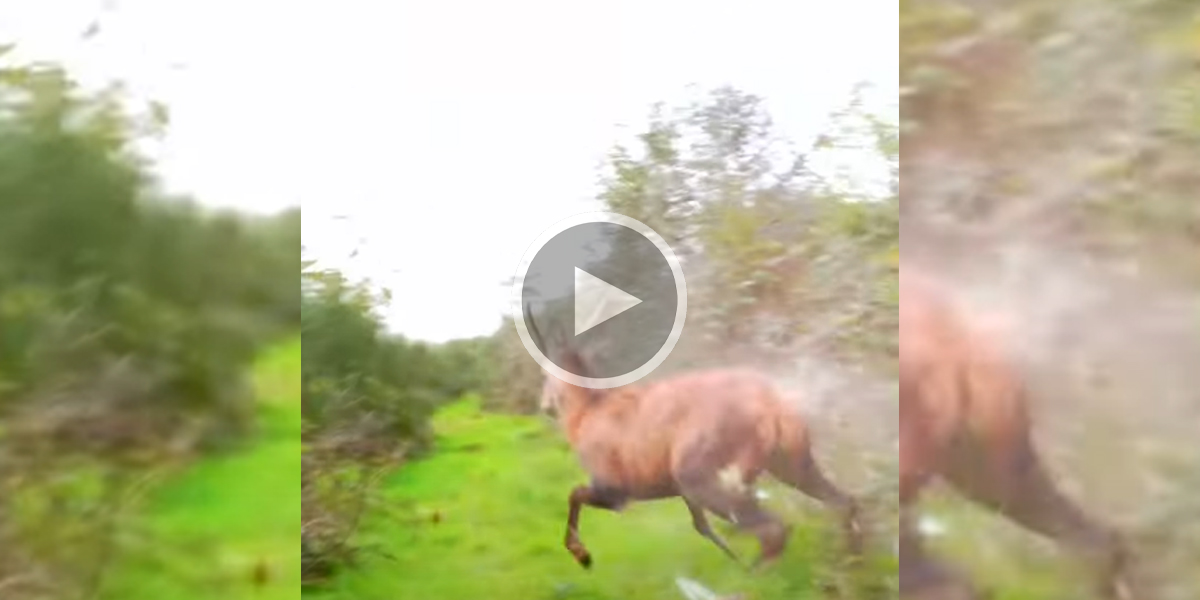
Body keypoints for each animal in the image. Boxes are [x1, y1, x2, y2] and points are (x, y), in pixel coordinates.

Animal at [525, 302, 864, 573]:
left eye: (543, 375)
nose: (544, 406)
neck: (588, 411)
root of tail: (771, 407)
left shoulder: (617, 488)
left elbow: (574, 494)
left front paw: (582, 556)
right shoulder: (677, 489)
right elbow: (701, 527)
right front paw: (733, 559)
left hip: (702, 472)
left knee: (776, 528)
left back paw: (759, 576)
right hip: (788, 461)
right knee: (843, 501)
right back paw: (851, 560)